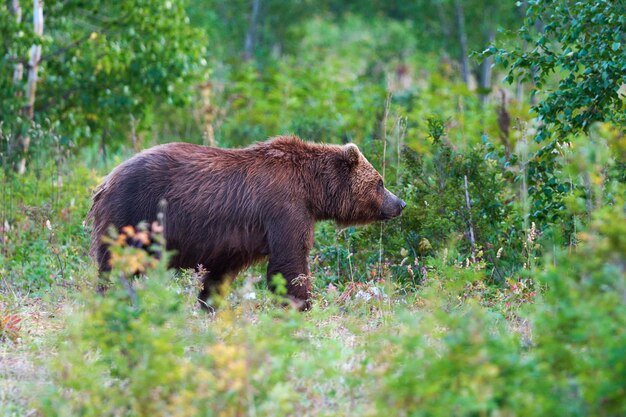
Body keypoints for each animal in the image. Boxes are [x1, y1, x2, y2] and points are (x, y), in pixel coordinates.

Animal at [89, 136, 404, 308]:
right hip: (134, 212)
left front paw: (209, 304)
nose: (400, 203)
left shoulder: (231, 242)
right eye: (380, 182)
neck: (312, 189)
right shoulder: (284, 208)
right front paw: (303, 305)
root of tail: (105, 180)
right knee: (116, 265)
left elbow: (220, 273)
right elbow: (289, 261)